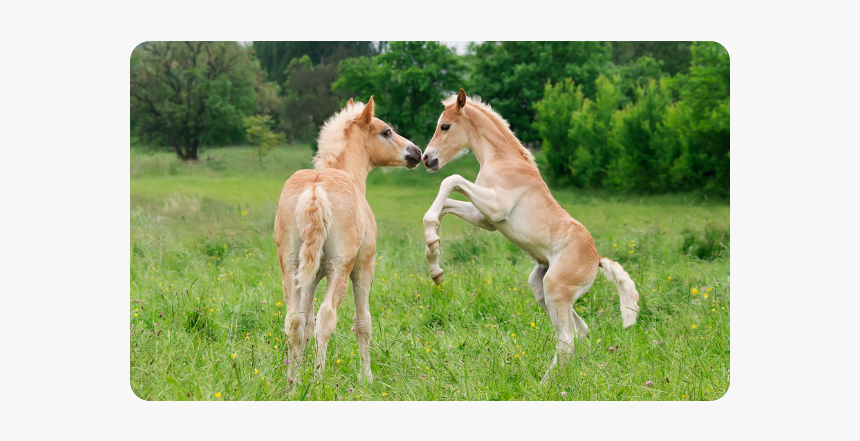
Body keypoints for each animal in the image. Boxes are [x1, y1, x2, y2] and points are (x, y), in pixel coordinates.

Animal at [274, 96, 422, 384]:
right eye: (386, 131)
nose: (417, 152)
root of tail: (315, 192)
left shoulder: (310, 278)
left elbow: (305, 323)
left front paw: (299, 371)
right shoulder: (364, 268)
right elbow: (362, 323)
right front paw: (368, 378)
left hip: (291, 267)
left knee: (294, 321)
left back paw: (292, 383)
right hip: (340, 269)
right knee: (327, 317)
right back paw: (319, 381)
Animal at [419, 89, 640, 379]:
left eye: (445, 126)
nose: (427, 159)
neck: (503, 160)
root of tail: (597, 259)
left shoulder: (495, 207)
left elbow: (451, 181)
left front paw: (432, 244)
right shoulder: (485, 218)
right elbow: (445, 205)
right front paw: (434, 259)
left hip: (555, 290)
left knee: (567, 339)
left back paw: (545, 383)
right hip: (542, 288)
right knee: (578, 331)